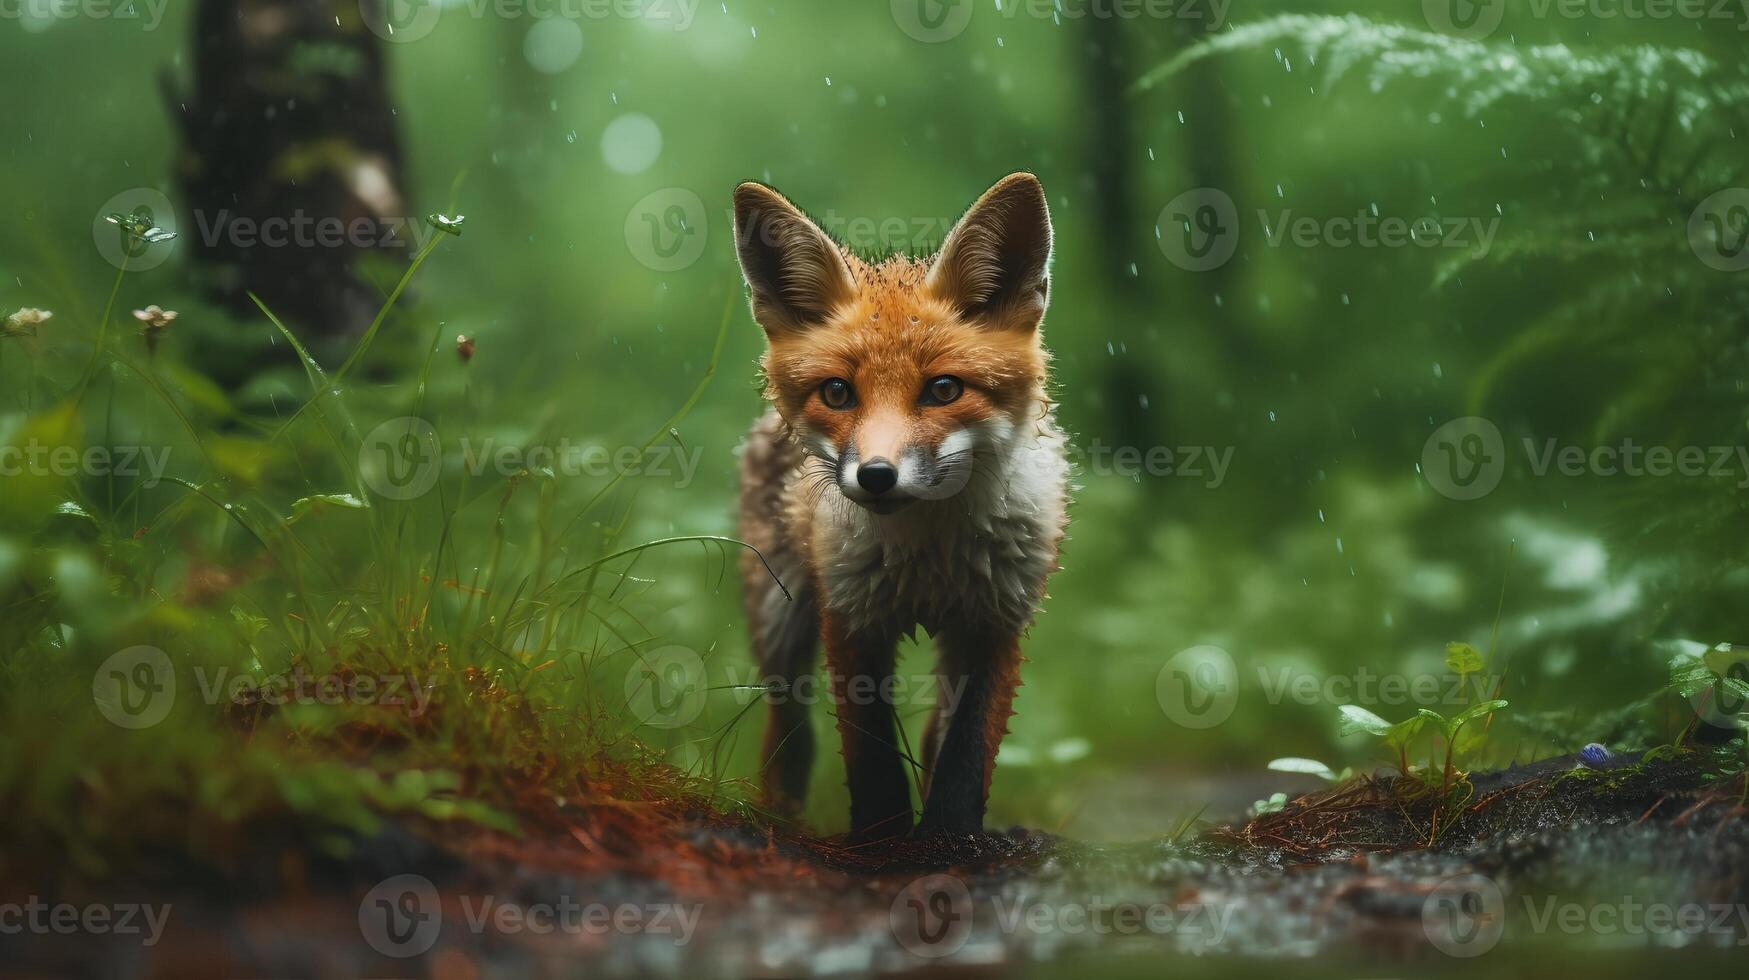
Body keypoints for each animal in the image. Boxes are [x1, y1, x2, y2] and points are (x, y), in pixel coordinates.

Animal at [727, 172, 1063, 840]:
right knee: (789, 731)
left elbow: (964, 754)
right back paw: (780, 811)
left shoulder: (995, 622)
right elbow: (873, 755)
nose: (876, 476)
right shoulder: (851, 617)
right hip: (780, 623)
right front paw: (883, 840)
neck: (930, 554)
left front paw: (948, 838)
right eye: (837, 392)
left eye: (944, 389)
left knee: (931, 734)